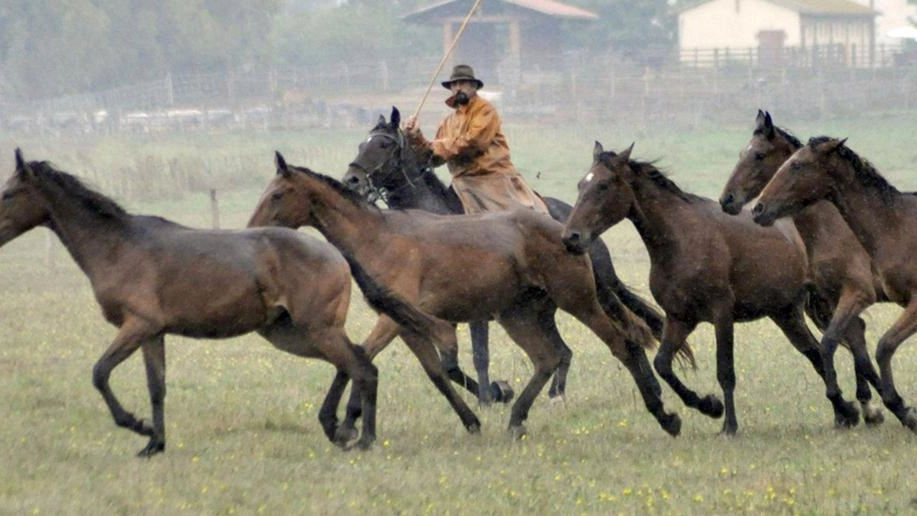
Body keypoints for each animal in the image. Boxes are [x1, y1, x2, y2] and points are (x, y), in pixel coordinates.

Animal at [0, 150, 444, 456]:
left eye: (8, 193)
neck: (118, 247)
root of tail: (336, 253)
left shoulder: (136, 326)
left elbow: (99, 373)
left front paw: (137, 426)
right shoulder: (152, 334)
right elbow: (156, 387)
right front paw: (154, 443)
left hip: (316, 330)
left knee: (362, 368)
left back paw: (361, 438)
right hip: (293, 334)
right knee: (357, 362)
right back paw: (341, 429)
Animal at [245, 151, 680, 442]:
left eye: (278, 194)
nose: (251, 230)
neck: (379, 238)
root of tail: (568, 231)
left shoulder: (395, 319)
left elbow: (364, 356)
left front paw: (340, 422)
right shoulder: (405, 324)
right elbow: (435, 373)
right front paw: (472, 418)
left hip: (579, 301)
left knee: (622, 344)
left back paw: (665, 415)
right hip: (520, 314)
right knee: (550, 356)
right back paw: (516, 419)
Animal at [560, 142, 864, 436]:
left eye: (603, 185)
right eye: (580, 184)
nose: (570, 237)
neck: (680, 239)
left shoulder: (721, 313)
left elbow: (725, 371)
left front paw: (728, 424)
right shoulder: (680, 318)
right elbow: (663, 364)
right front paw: (707, 406)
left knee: (826, 348)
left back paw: (851, 409)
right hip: (785, 314)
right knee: (815, 353)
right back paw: (844, 413)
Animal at [720, 111, 884, 426]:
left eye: (758, 155)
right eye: (740, 154)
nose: (727, 200)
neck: (832, 228)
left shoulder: (856, 291)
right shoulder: (836, 297)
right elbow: (843, 343)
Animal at [752, 135, 916, 430]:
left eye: (797, 165)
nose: (758, 209)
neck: (897, 226)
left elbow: (882, 346)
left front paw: (900, 409)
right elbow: (843, 343)